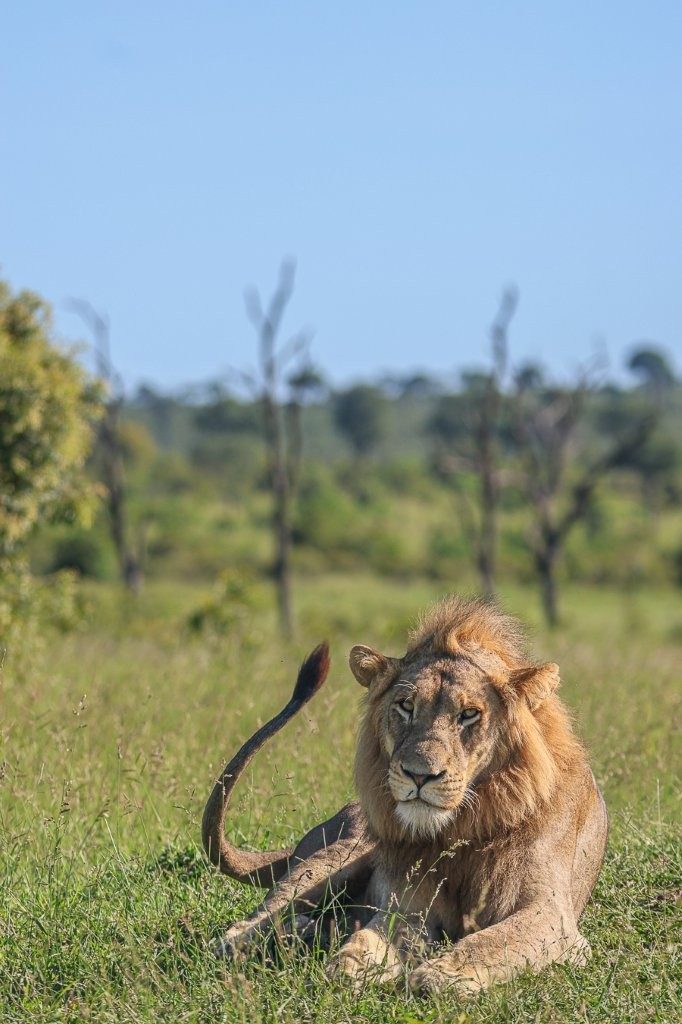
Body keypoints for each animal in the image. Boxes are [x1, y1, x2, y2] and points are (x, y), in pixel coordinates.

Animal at [202, 596, 608, 996]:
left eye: (469, 714)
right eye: (406, 706)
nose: (419, 774)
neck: (460, 829)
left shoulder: (552, 915)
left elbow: (492, 941)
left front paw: (440, 974)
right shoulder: (407, 910)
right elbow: (370, 942)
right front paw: (349, 967)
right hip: (334, 860)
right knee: (242, 931)